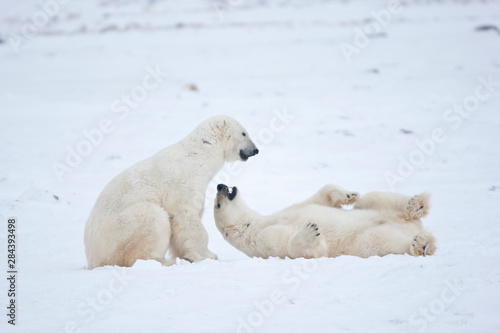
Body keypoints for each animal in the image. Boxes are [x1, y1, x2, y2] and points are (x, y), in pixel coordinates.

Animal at [82, 115, 258, 268]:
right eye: (244, 133)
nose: (255, 150)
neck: (200, 154)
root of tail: (92, 258)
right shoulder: (183, 182)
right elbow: (184, 214)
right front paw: (208, 256)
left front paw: (186, 256)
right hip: (123, 228)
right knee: (153, 219)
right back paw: (164, 261)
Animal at [213, 183, 436, 258]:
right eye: (217, 205)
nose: (220, 185)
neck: (255, 224)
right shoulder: (262, 241)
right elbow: (294, 249)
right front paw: (310, 231)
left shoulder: (290, 209)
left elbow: (319, 199)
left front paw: (348, 195)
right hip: (365, 242)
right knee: (378, 240)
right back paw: (421, 244)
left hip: (382, 210)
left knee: (372, 198)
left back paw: (416, 204)